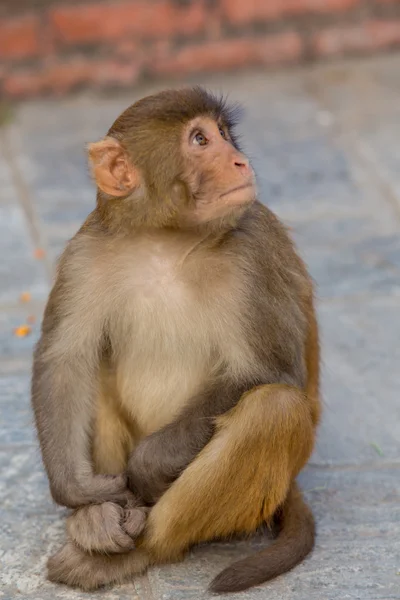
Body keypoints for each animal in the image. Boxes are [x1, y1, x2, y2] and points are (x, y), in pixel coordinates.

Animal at [30, 86, 322, 592]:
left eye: (222, 133)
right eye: (200, 140)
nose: (239, 161)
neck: (165, 240)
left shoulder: (252, 251)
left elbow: (270, 371)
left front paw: (146, 466)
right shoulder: (86, 252)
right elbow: (64, 358)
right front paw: (78, 490)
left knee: (274, 408)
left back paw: (140, 547)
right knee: (94, 364)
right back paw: (97, 521)